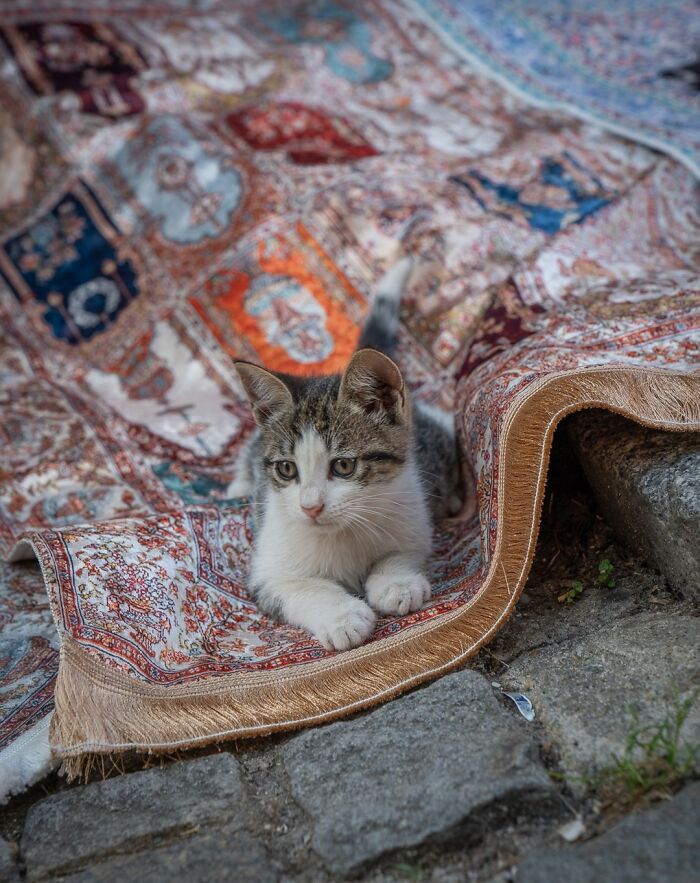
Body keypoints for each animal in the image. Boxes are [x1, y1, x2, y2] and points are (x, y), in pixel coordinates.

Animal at [235, 258, 462, 652]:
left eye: (343, 465)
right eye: (286, 469)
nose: (310, 507)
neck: (342, 533)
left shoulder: (413, 515)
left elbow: (402, 551)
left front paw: (396, 583)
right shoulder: (267, 572)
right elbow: (301, 587)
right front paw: (342, 617)